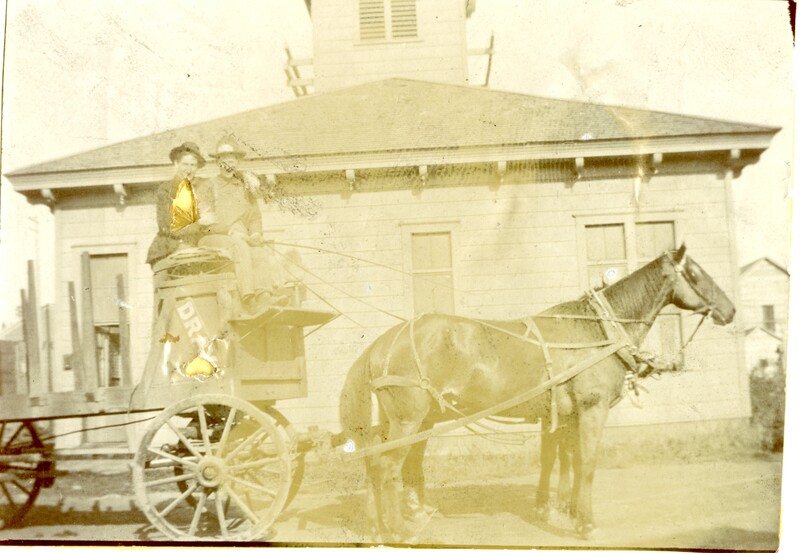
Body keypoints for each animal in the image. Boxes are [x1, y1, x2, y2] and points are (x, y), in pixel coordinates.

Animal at [338, 245, 735, 541]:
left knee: (376, 465)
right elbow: (586, 463)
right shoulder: (591, 410)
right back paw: (398, 529)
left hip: (402, 421)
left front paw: (558, 508)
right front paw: (585, 522)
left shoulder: (562, 414)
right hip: (409, 420)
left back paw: (377, 527)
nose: (730, 310)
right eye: (694, 274)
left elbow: (560, 460)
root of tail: (384, 340)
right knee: (387, 467)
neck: (596, 332)